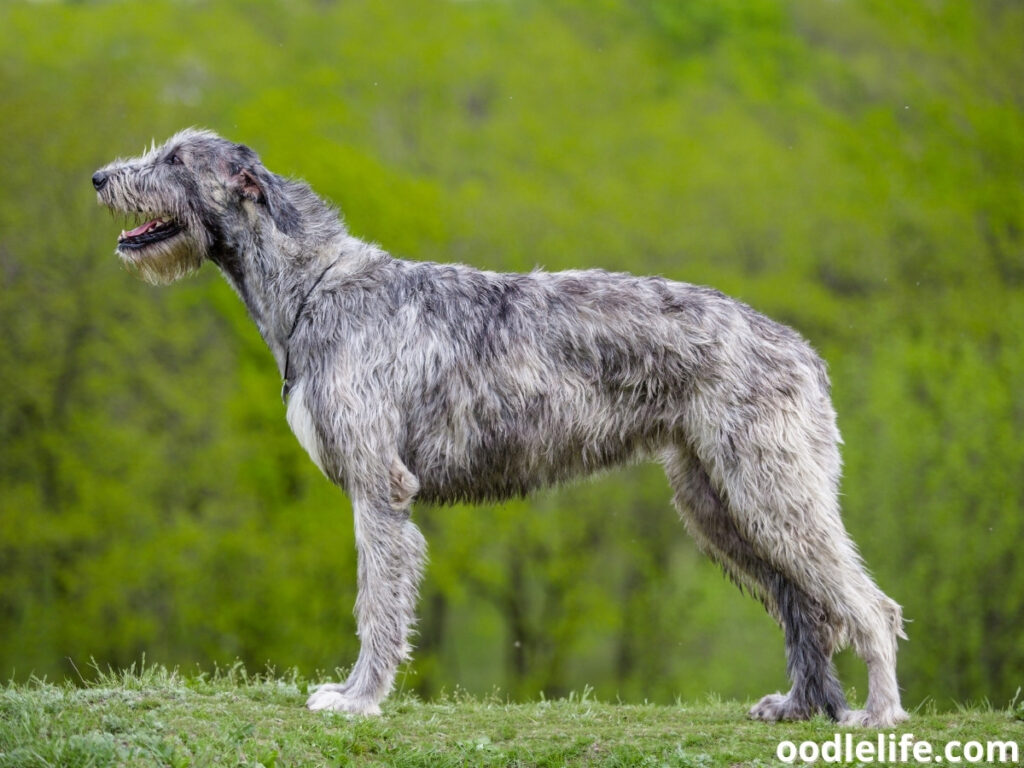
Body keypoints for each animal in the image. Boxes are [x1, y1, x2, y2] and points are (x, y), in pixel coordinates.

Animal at [96, 131, 909, 729]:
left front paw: (357, 698)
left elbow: (377, 602)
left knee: (871, 606)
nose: (101, 176)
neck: (315, 286)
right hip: (719, 503)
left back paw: (877, 715)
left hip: (771, 489)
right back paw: (800, 706)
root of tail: (801, 350)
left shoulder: (379, 488)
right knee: (805, 605)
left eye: (176, 159)